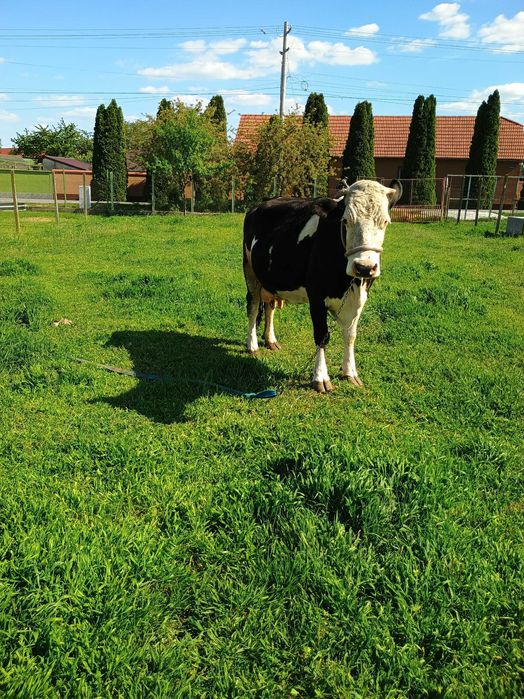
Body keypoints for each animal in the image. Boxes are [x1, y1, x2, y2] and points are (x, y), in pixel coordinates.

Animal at [243, 179, 402, 392]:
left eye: (385, 222)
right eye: (345, 221)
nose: (364, 267)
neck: (348, 282)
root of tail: (264, 202)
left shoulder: (360, 299)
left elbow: (350, 335)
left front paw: (350, 373)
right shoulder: (316, 297)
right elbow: (322, 335)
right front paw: (320, 377)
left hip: (272, 279)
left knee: (270, 306)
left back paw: (270, 340)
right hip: (250, 271)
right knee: (252, 307)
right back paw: (252, 345)